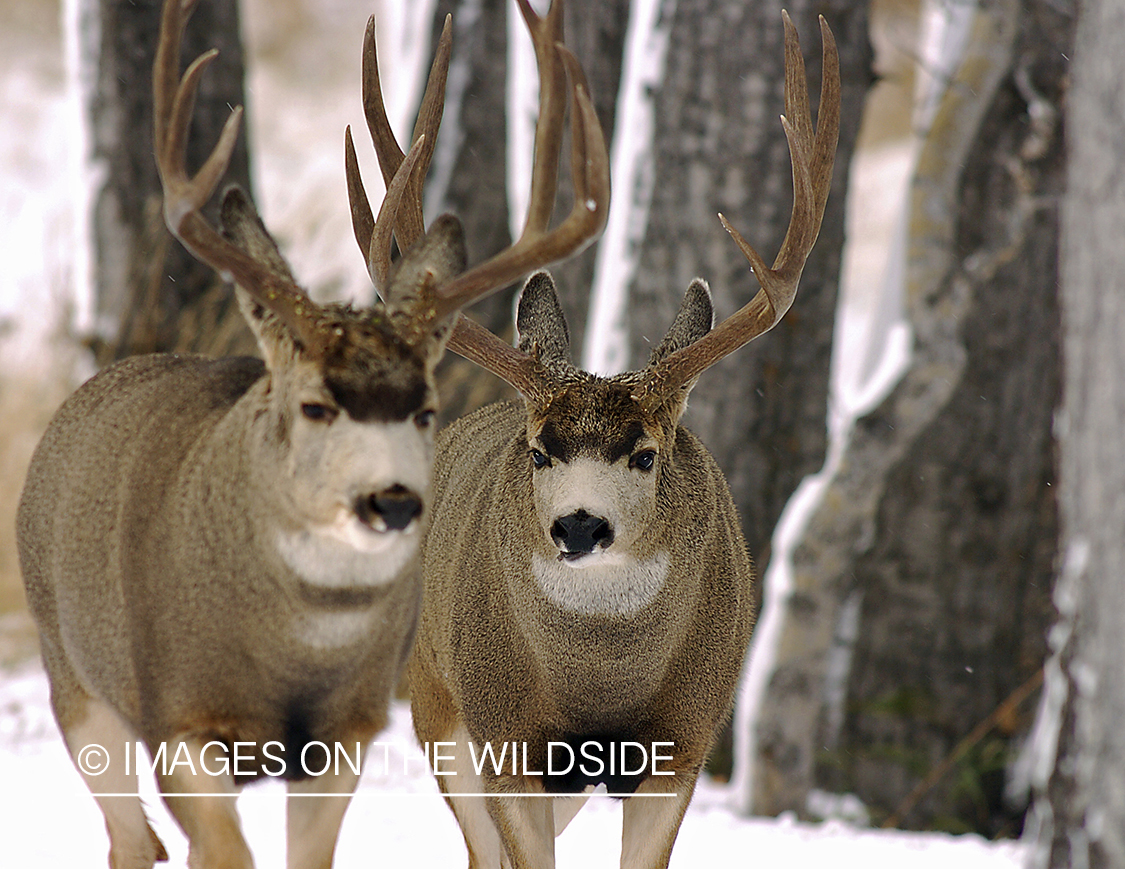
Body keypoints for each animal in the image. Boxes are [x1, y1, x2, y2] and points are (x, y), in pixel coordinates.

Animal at [15, 0, 607, 866]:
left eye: (425, 409)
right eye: (315, 405)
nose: (391, 501)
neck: (291, 653)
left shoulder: (347, 731)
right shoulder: (178, 716)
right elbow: (224, 850)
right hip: (77, 683)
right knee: (131, 838)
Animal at [397, 12, 840, 869]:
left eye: (645, 453)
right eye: (540, 450)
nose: (578, 524)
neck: (600, 684)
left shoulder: (684, 742)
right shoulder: (505, 736)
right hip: (434, 699)